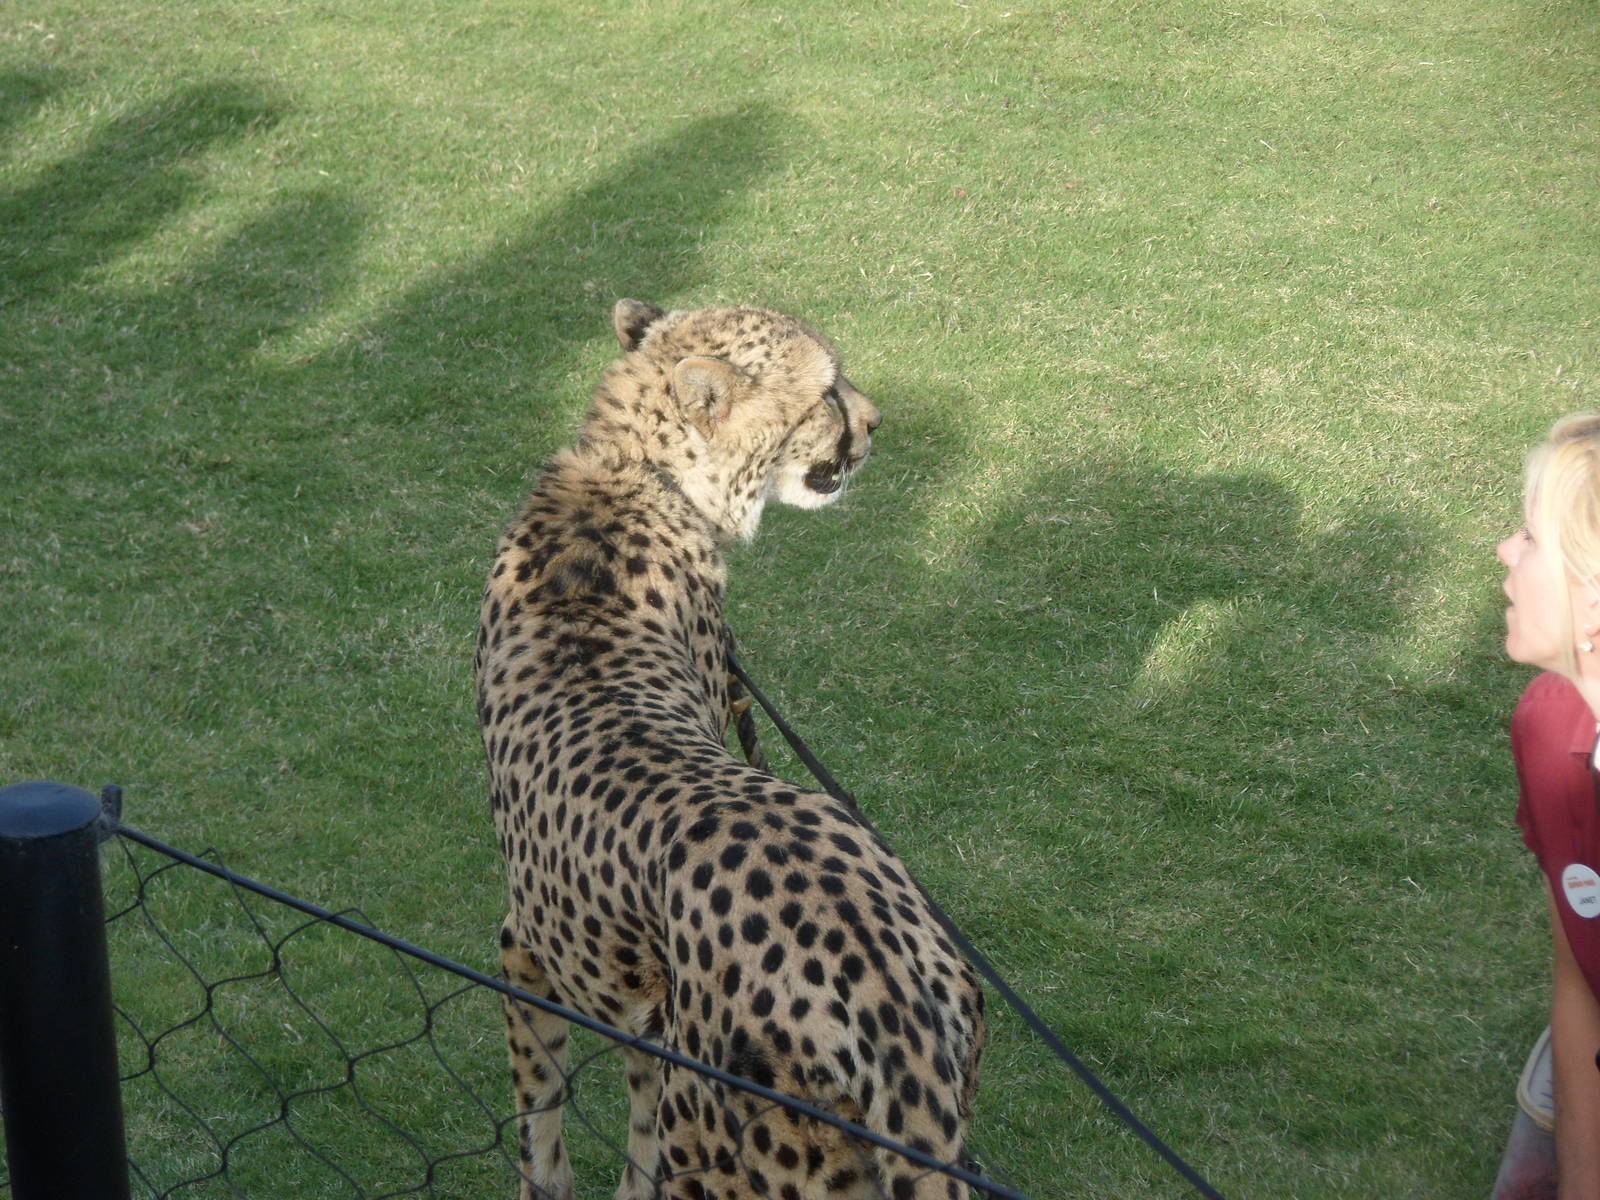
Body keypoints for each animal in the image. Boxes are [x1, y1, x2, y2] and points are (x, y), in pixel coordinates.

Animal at [475, 300, 984, 1200]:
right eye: (826, 391)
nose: (877, 421)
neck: (639, 472)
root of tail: (883, 984)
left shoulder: (550, 966)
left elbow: (560, 1135)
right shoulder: (560, 968)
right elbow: (563, 1125)